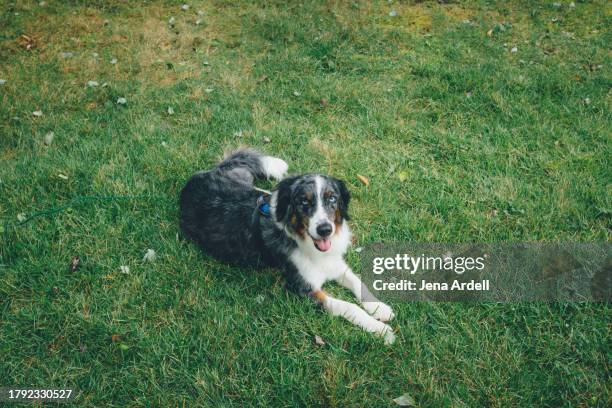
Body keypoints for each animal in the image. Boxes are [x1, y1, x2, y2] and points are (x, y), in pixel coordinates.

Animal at [179, 148, 394, 342]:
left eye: (332, 198)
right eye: (304, 202)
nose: (325, 229)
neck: (303, 241)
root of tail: (200, 176)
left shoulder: (334, 263)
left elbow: (358, 282)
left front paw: (379, 308)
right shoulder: (305, 289)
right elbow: (349, 306)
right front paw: (380, 330)